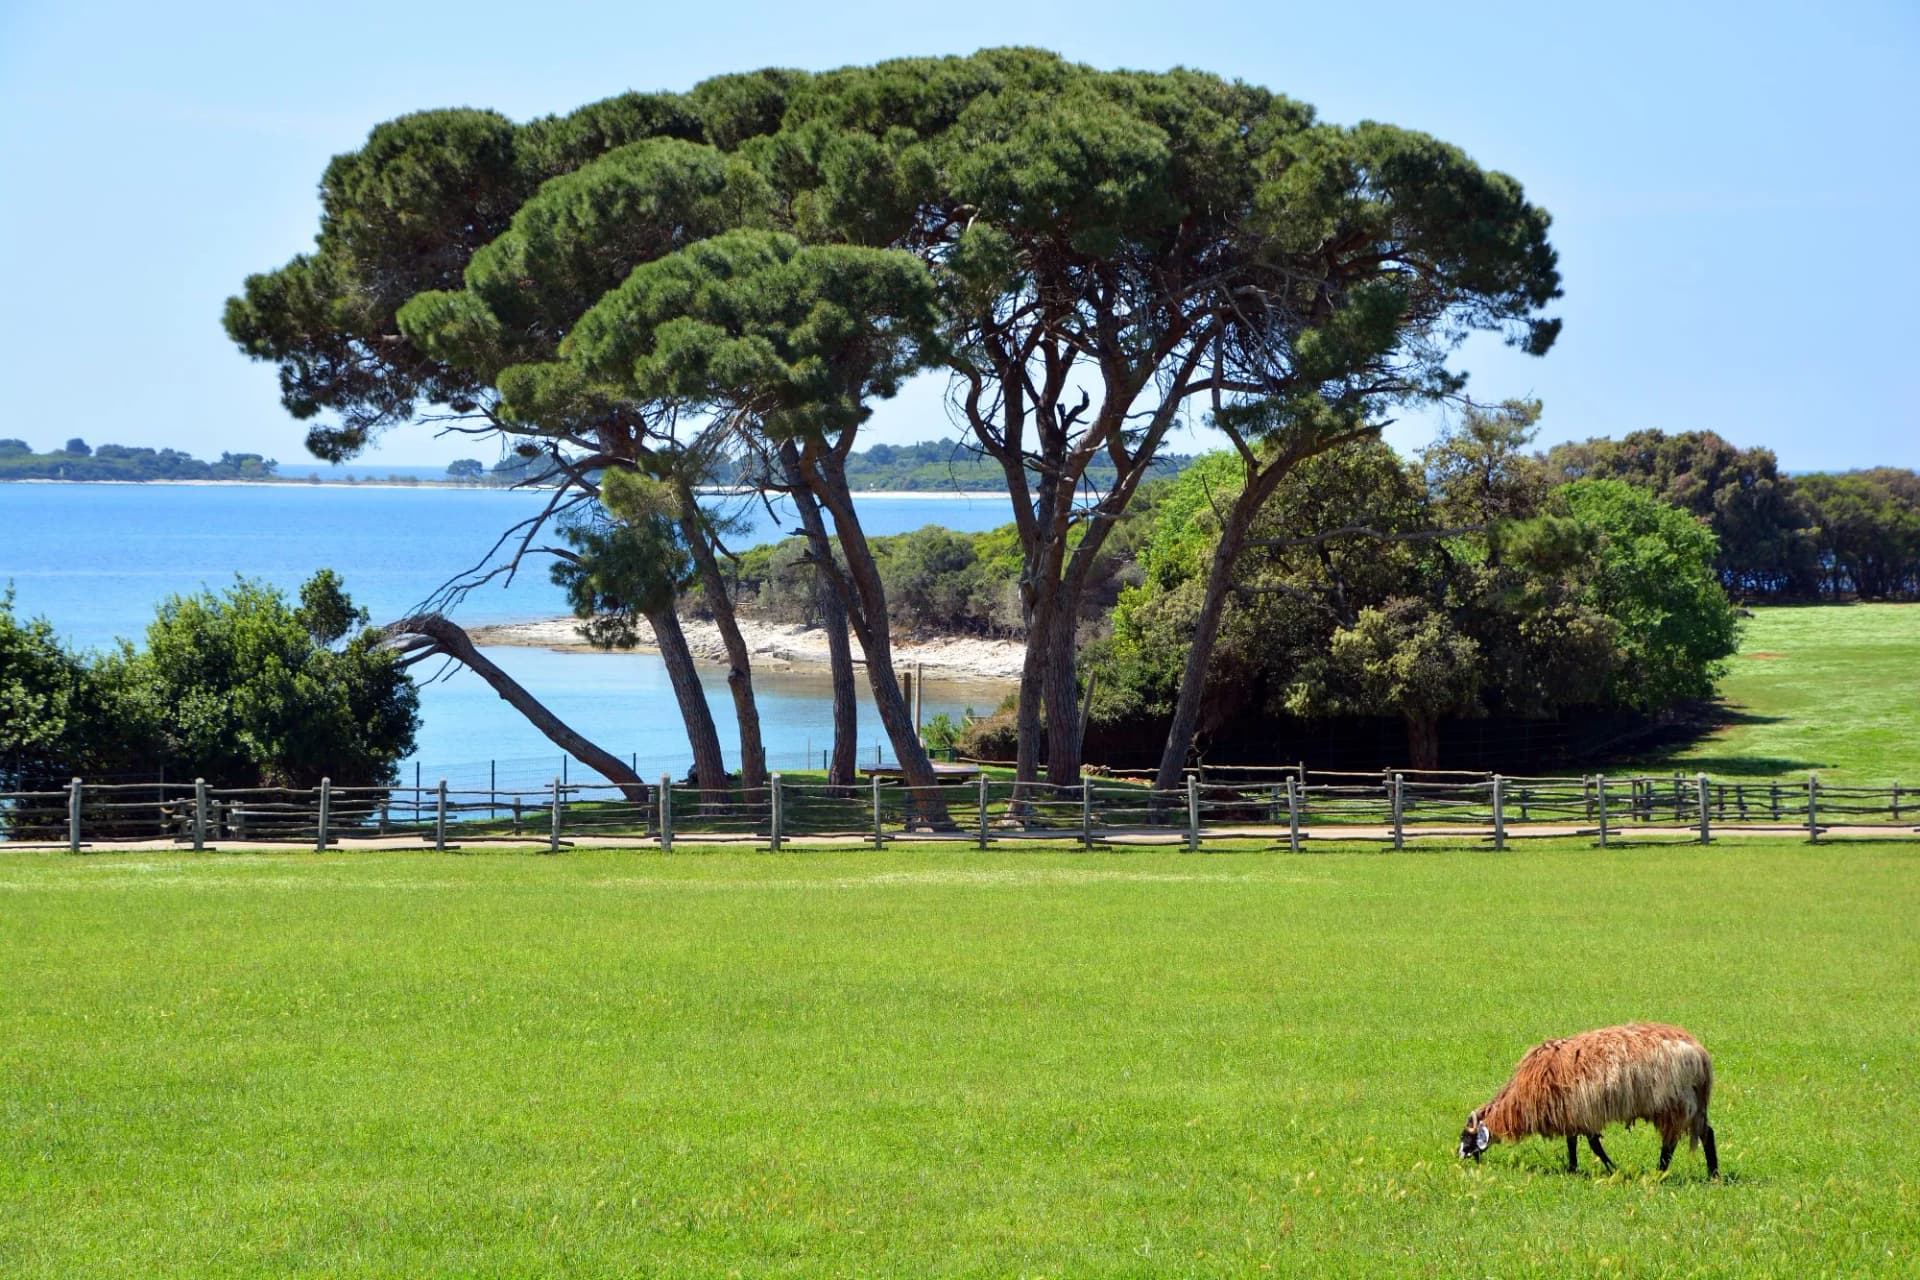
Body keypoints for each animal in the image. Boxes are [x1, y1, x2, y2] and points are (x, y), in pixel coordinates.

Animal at [1456, 1023, 1719, 1177]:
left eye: (1465, 1137)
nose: (1459, 1157)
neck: (1517, 1103)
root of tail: (1699, 1052)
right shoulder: (1571, 1116)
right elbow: (1573, 1143)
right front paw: (1573, 1169)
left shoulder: (1582, 1114)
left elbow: (1594, 1146)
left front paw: (1612, 1168)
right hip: (1692, 1105)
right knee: (1707, 1133)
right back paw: (1712, 1174)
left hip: (1674, 1104)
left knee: (1672, 1142)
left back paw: (1660, 1173)